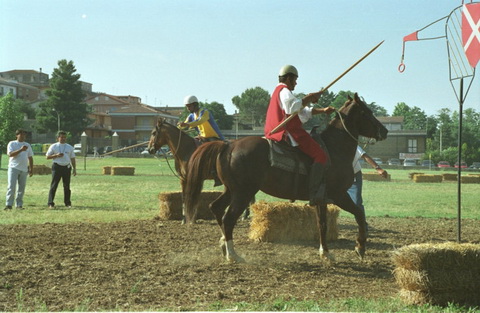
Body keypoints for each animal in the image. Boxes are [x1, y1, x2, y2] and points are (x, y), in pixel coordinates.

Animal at [184, 92, 390, 260]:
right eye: (367, 112)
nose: (385, 131)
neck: (334, 148)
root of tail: (229, 145)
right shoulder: (338, 194)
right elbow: (358, 214)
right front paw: (360, 247)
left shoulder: (321, 198)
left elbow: (322, 224)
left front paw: (325, 252)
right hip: (243, 193)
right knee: (228, 218)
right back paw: (233, 254)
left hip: (232, 190)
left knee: (217, 208)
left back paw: (224, 245)